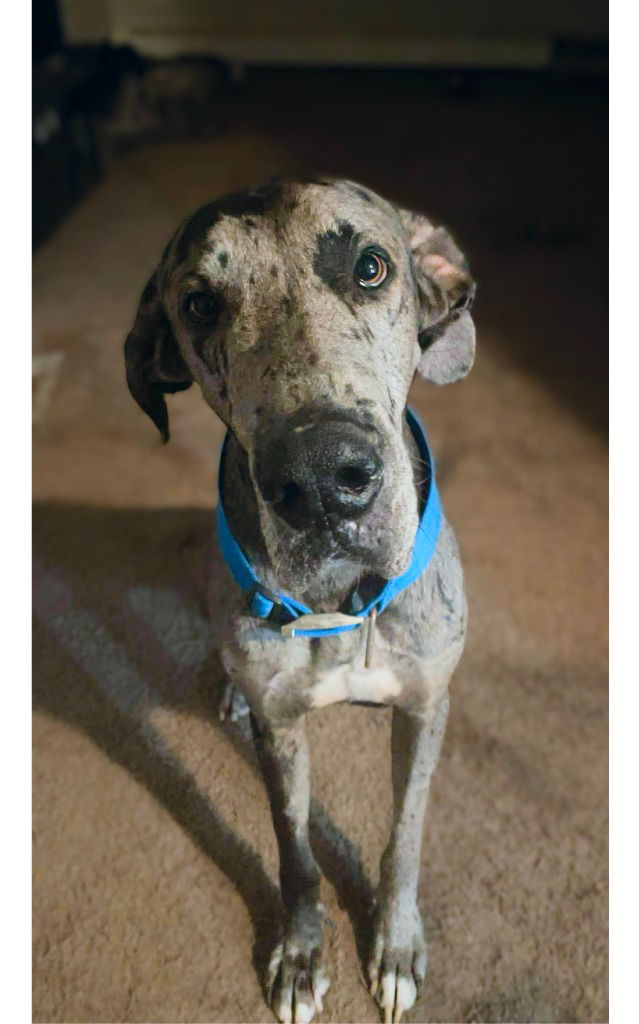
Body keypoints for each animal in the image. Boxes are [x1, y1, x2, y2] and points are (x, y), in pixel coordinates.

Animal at [124, 177, 475, 1023]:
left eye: (371, 266)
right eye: (200, 305)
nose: (319, 480)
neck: (346, 601)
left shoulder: (426, 708)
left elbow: (405, 834)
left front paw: (395, 946)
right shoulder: (281, 731)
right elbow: (295, 847)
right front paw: (299, 953)